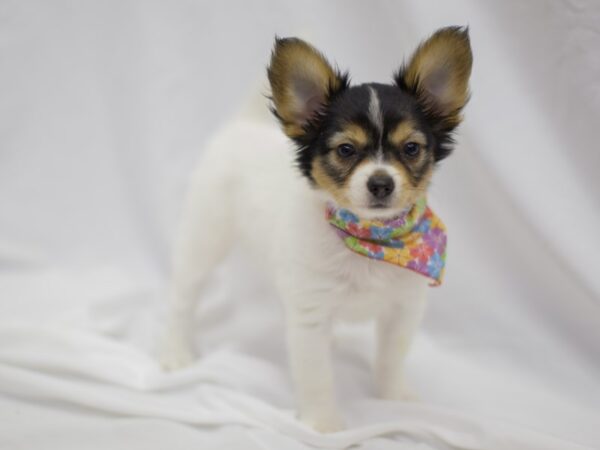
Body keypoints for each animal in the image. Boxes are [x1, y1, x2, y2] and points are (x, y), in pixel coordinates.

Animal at [159, 25, 474, 432]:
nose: (381, 183)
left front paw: (394, 398)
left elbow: (390, 358)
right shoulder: (310, 318)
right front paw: (323, 424)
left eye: (411, 148)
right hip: (204, 238)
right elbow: (317, 375)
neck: (371, 241)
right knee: (183, 299)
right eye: (345, 150)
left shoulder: (403, 309)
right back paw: (175, 352)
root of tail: (243, 125)